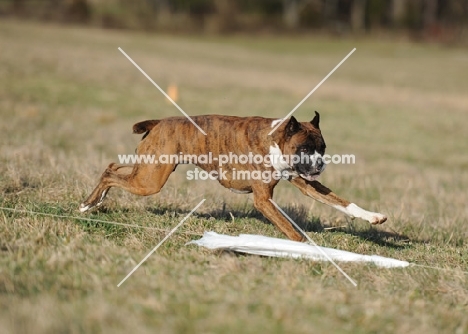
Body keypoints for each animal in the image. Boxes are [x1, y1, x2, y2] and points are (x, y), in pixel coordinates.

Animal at [81, 113, 388, 241]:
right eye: (304, 149)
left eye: (322, 148)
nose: (320, 164)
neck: (276, 140)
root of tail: (159, 122)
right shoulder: (263, 200)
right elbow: (291, 230)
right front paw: (303, 248)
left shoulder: (306, 184)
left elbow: (343, 203)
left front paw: (374, 217)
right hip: (150, 181)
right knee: (110, 174)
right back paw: (87, 204)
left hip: (147, 171)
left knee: (113, 167)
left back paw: (96, 201)